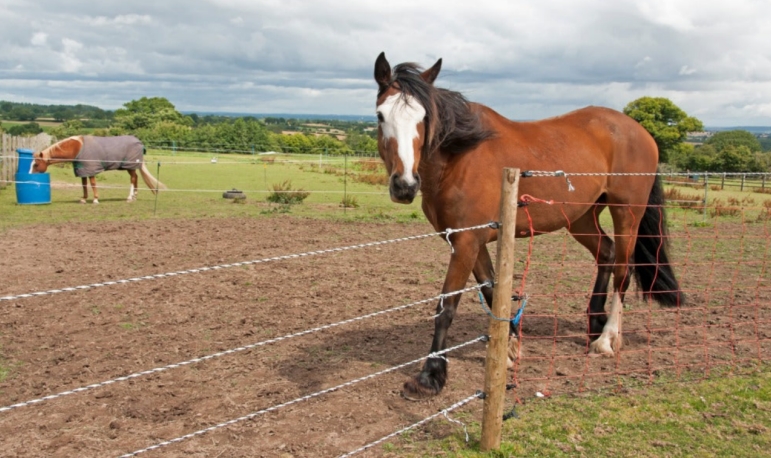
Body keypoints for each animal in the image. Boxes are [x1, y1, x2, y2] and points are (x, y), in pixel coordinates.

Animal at [32, 133, 166, 203]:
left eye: (36, 164)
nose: (31, 176)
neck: (78, 148)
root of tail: (139, 142)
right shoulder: (83, 170)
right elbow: (84, 185)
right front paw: (84, 199)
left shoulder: (91, 169)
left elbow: (92, 184)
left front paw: (95, 199)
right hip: (130, 167)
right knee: (136, 177)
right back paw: (134, 197)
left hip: (130, 166)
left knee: (133, 179)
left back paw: (129, 197)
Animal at [376, 52, 684, 398]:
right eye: (380, 116)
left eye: (424, 117)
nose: (404, 185)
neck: (459, 157)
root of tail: (641, 132)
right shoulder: (470, 241)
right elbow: (493, 289)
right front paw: (510, 349)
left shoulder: (466, 242)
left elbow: (447, 306)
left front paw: (431, 375)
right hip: (581, 217)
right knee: (606, 253)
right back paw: (594, 323)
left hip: (626, 213)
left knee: (622, 269)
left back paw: (606, 339)